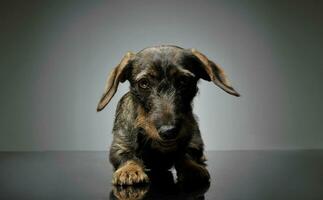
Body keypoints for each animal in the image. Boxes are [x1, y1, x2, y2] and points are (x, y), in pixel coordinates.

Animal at [97, 44, 239, 185]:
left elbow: (187, 154)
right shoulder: (119, 145)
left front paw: (192, 168)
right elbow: (127, 155)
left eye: (183, 81)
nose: (168, 131)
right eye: (144, 83)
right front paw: (129, 170)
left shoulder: (194, 142)